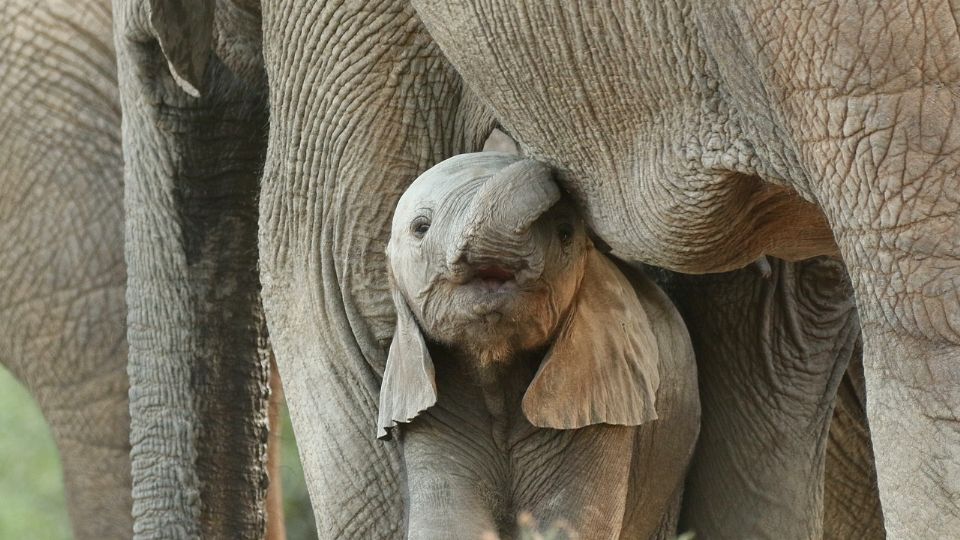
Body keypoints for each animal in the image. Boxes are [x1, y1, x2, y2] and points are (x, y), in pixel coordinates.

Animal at [378, 153, 700, 540]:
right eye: (420, 228)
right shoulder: (431, 413)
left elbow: (570, 523)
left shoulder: (602, 404)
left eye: (565, 235)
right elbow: (446, 524)